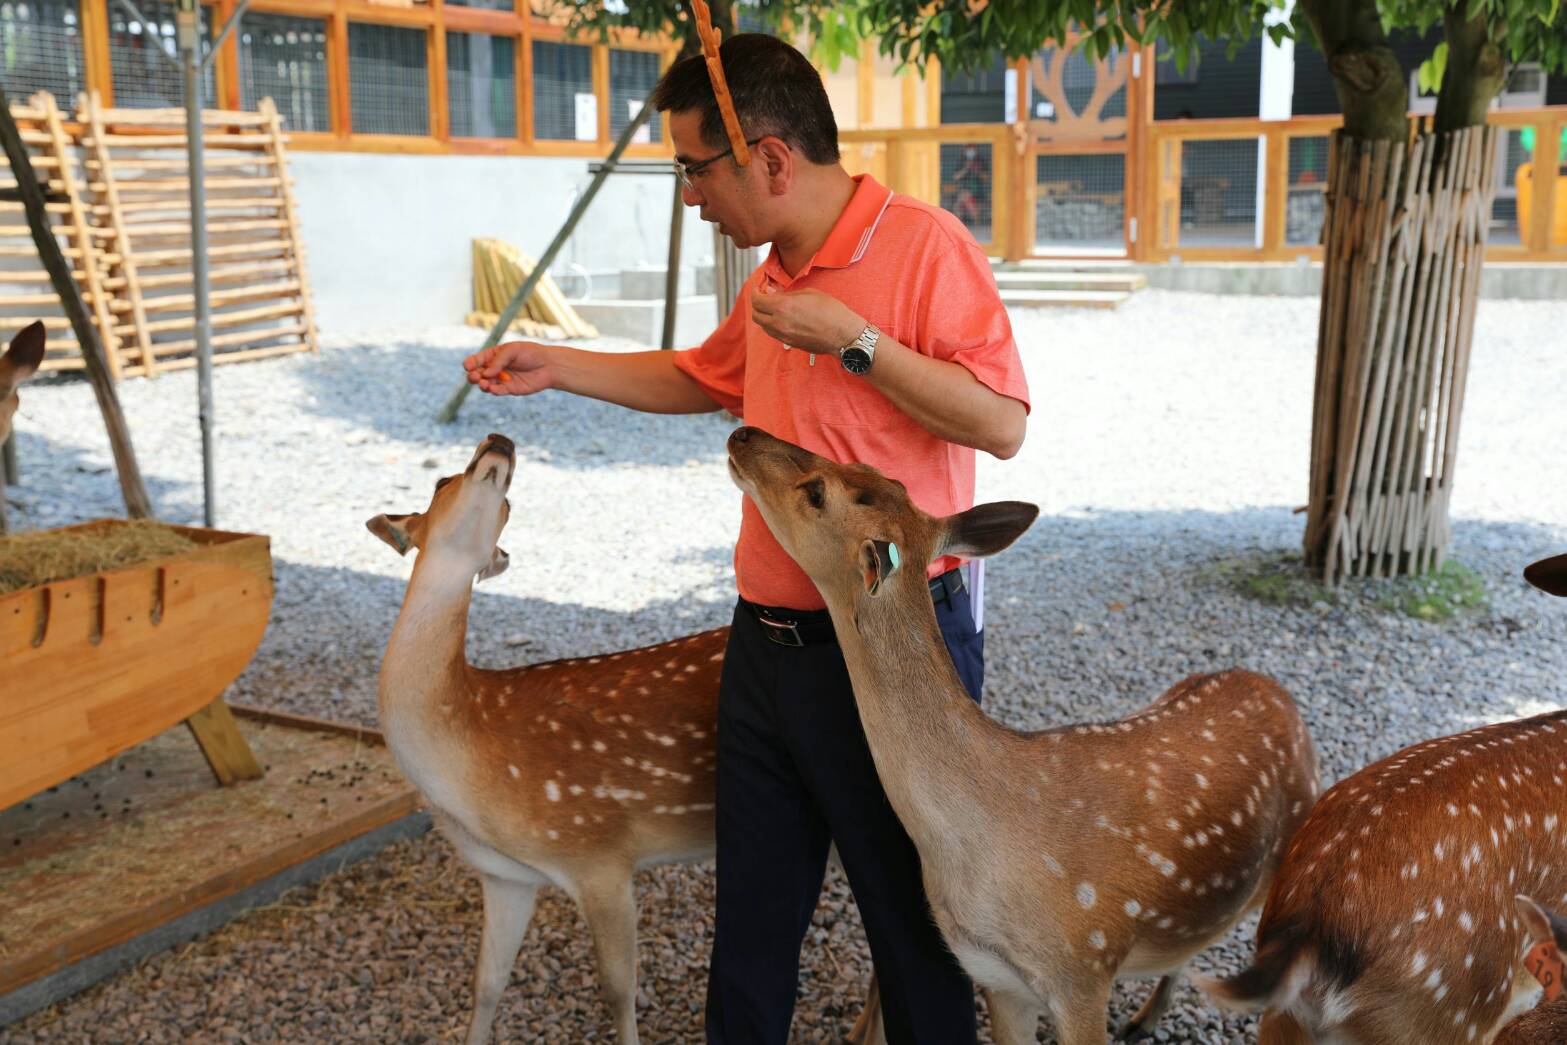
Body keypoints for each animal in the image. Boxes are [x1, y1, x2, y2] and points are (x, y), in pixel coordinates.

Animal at [363, 432, 883, 1045]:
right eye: (442, 481)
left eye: (508, 506)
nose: (498, 443)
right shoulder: (504, 875)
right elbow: (486, 984)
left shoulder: (601, 854)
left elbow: (616, 989)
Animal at [723, 426, 1322, 1045]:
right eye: (870, 470)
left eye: (817, 492)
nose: (743, 433)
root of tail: (1279, 695)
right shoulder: (995, 975)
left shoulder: (1084, 967)